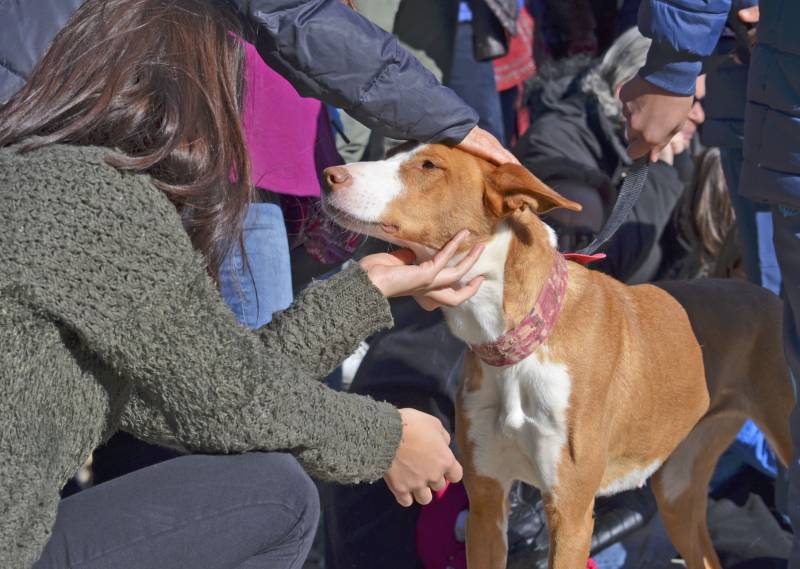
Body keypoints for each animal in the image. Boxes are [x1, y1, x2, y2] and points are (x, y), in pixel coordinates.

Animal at [320, 144, 792, 568]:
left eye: (429, 166)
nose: (330, 175)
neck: (516, 346)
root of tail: (768, 298)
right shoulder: (486, 504)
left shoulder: (571, 514)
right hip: (678, 489)